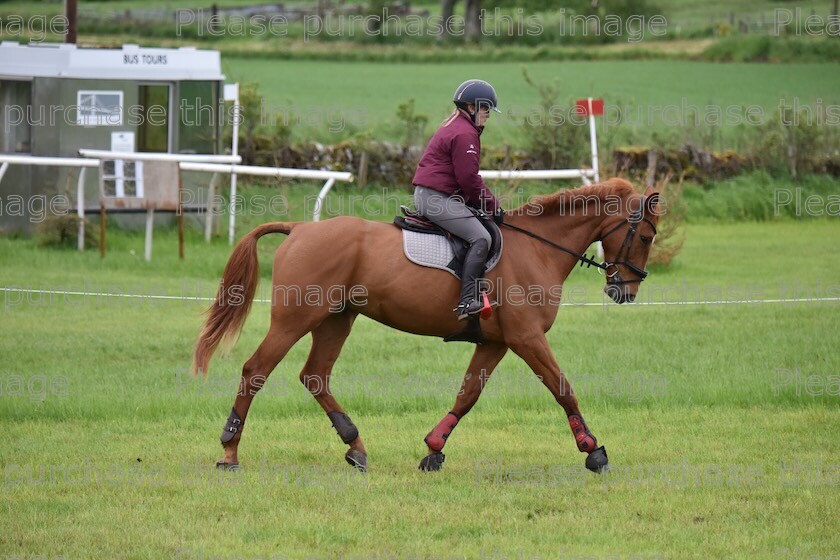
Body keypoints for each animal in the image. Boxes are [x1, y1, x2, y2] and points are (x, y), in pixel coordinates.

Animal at [194, 179, 660, 472]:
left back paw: (356, 447)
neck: (538, 249)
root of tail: (299, 229)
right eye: (646, 237)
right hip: (295, 319)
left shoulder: (496, 343)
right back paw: (229, 452)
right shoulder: (526, 338)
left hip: (336, 319)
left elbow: (468, 395)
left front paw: (434, 451)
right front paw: (592, 450)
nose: (627, 290)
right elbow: (563, 389)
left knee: (315, 376)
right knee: (256, 371)